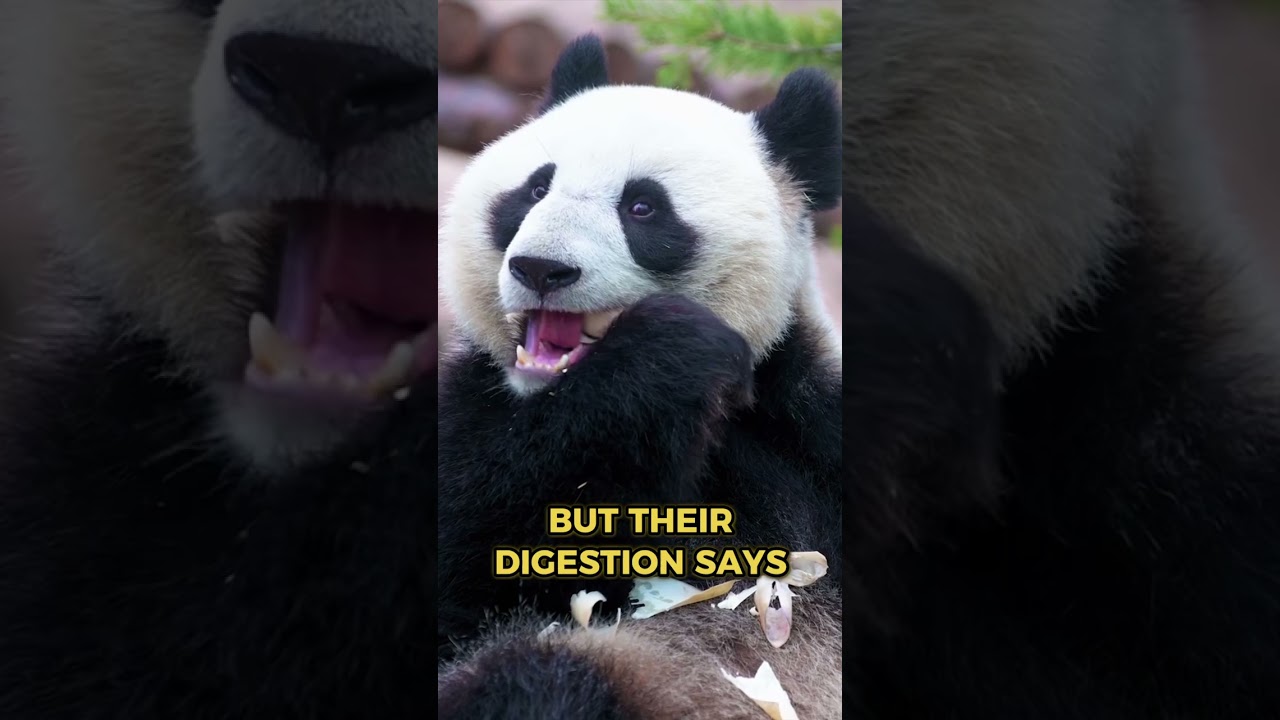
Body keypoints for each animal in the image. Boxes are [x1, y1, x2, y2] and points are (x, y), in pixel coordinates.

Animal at [434, 35, 850, 718]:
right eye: (535, 189)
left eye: (643, 206)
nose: (540, 268)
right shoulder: (478, 407)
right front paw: (668, 357)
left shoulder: (815, 419)